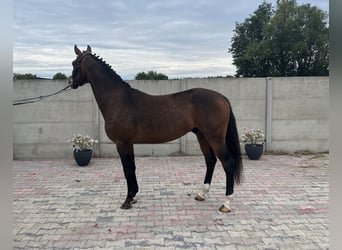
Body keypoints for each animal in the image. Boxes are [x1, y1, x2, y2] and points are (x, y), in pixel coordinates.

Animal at [69, 45, 242, 213]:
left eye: (74, 63)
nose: (71, 83)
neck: (119, 100)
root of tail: (221, 97)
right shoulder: (128, 143)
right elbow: (132, 167)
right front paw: (133, 196)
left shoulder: (122, 143)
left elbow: (127, 169)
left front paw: (127, 200)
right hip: (202, 136)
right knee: (210, 161)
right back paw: (201, 194)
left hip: (215, 138)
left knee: (228, 163)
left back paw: (226, 203)